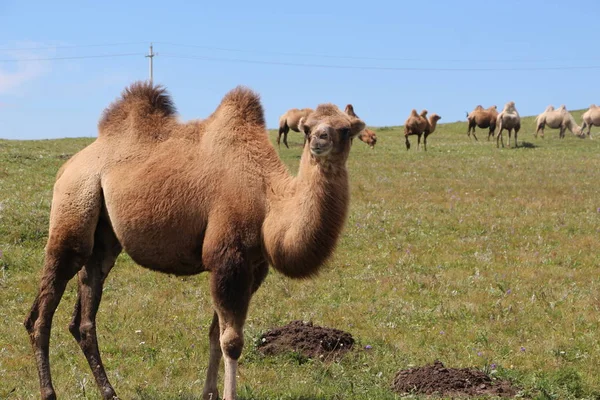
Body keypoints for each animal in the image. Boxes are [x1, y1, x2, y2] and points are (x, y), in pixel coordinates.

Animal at [24, 81, 366, 400]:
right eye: (307, 128)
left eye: (345, 129)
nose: (319, 140)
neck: (267, 200)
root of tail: (68, 166)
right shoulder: (228, 257)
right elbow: (232, 340)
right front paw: (227, 395)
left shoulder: (253, 267)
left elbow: (215, 333)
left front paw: (209, 392)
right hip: (74, 205)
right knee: (42, 311)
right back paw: (48, 391)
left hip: (104, 236)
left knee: (85, 312)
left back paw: (109, 391)